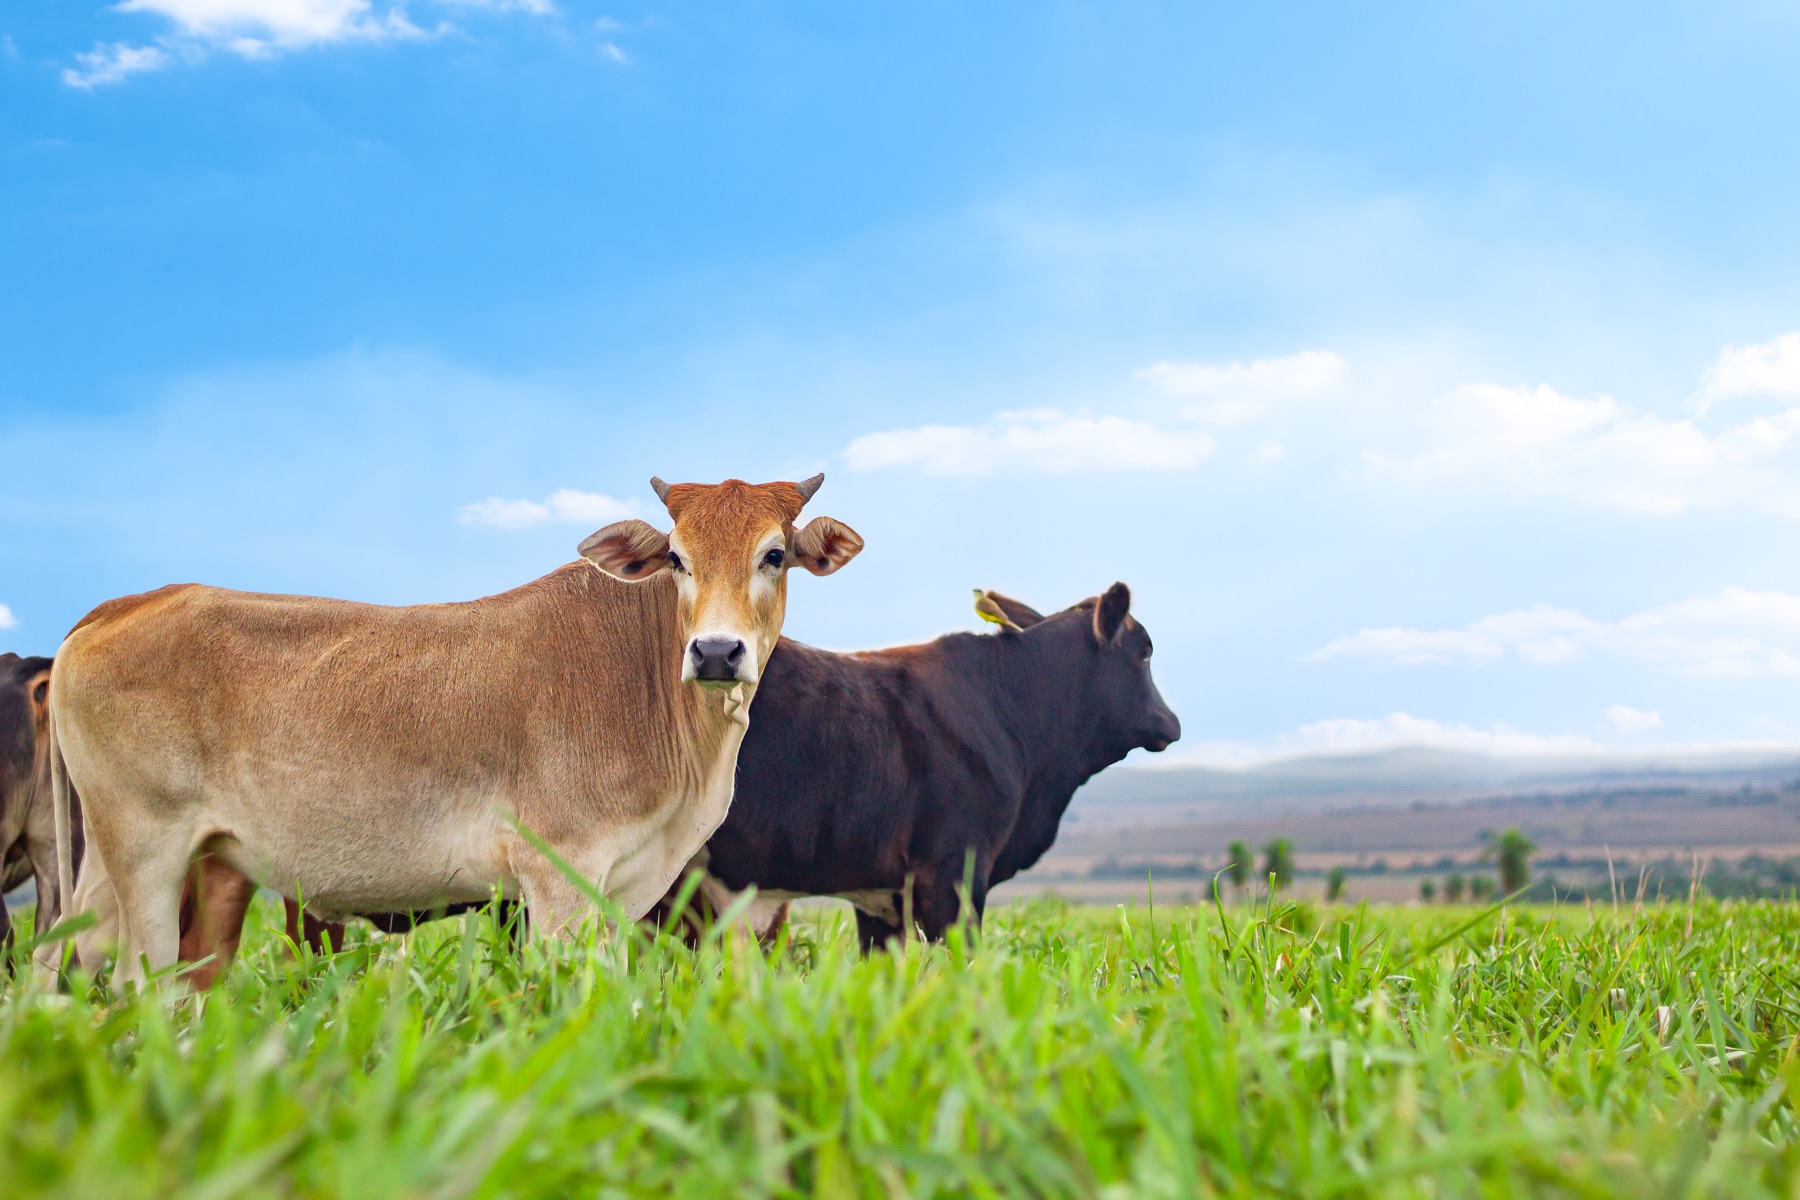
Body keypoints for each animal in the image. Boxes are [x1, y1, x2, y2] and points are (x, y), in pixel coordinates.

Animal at [43, 475, 862, 986]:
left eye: (774, 554)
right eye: (676, 558)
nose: (716, 652)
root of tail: (127, 602)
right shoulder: (557, 876)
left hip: (119, 864)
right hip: (146, 849)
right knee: (141, 978)